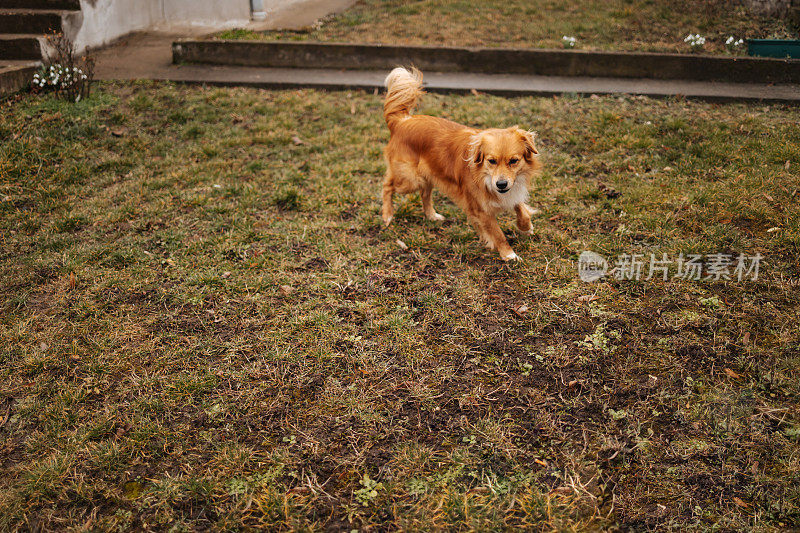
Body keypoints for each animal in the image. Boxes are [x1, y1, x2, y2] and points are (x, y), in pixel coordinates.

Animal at [382, 65, 544, 260]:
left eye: (513, 161)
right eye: (491, 161)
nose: (501, 184)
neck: (485, 177)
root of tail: (402, 121)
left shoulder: (512, 188)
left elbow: (520, 207)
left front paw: (526, 227)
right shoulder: (481, 210)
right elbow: (498, 234)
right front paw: (509, 255)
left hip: (428, 175)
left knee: (425, 194)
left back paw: (431, 215)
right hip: (410, 179)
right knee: (388, 186)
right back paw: (387, 215)